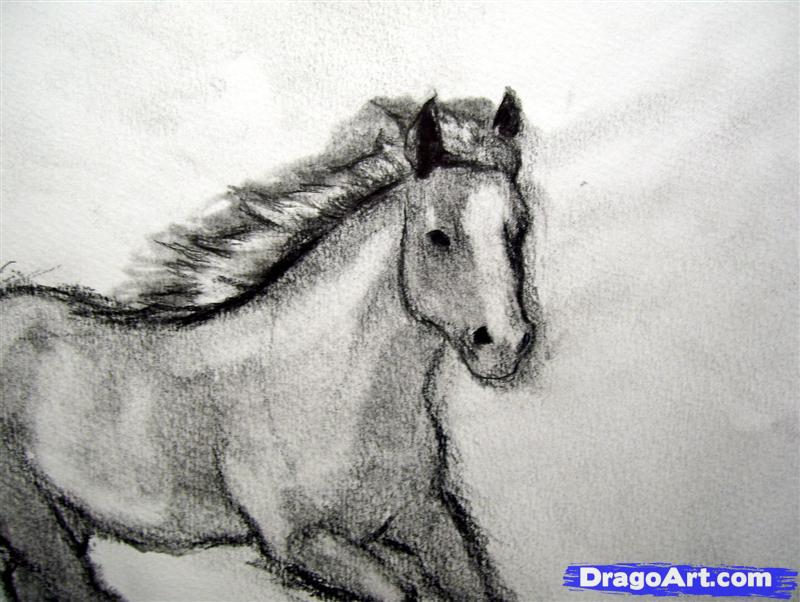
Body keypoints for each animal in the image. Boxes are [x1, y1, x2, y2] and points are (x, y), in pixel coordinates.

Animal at [0, 90, 538, 602]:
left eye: (519, 228)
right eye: (438, 236)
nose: (504, 343)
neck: (327, 383)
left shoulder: (424, 517)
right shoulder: (303, 543)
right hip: (33, 523)